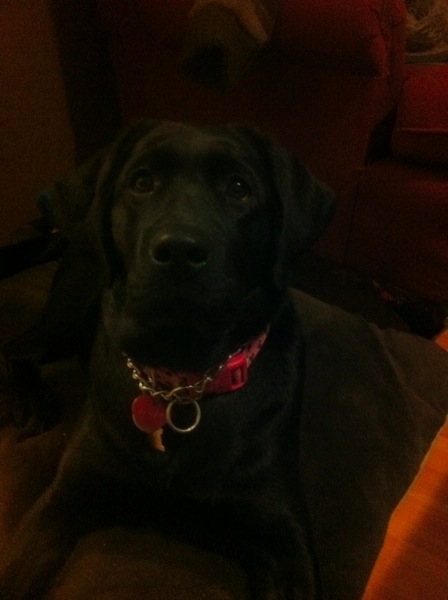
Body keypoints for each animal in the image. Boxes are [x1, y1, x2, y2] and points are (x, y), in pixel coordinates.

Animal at [0, 120, 335, 599]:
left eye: (239, 187)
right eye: (142, 182)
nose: (179, 250)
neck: (184, 381)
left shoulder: (283, 533)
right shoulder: (64, 498)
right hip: (72, 304)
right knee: (19, 347)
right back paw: (31, 402)